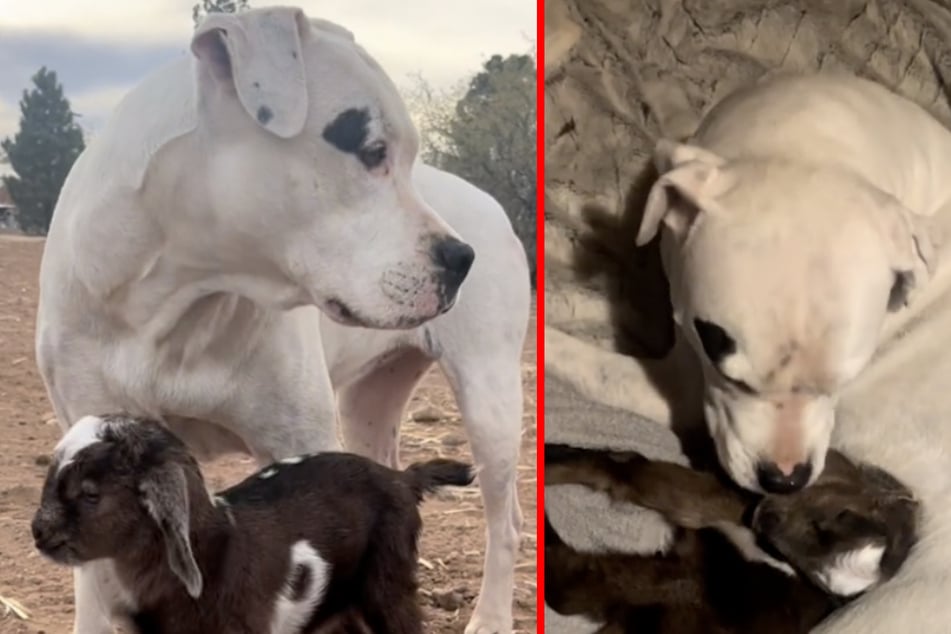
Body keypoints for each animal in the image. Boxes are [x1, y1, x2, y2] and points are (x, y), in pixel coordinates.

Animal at [35, 8, 528, 632]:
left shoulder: (299, 443)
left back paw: (491, 615)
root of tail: (491, 204)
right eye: (372, 150)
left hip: (491, 399)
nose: (461, 259)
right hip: (369, 405)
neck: (181, 295)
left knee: (503, 522)